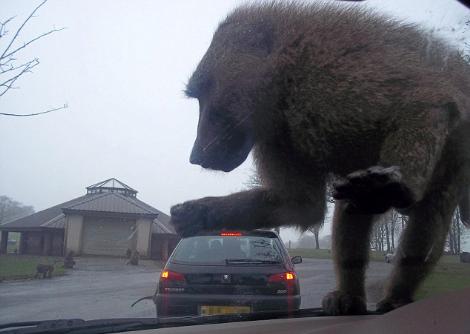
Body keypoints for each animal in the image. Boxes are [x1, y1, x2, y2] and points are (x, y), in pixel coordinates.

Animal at [170, 1, 470, 316]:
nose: (195, 156)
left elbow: (425, 98)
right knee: (354, 207)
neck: (283, 74)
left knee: (429, 210)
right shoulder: (280, 136)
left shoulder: (328, 80)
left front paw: (386, 188)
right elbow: (301, 204)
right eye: (197, 95)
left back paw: (397, 293)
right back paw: (351, 297)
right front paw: (198, 213)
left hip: (457, 148)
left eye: (204, 91)